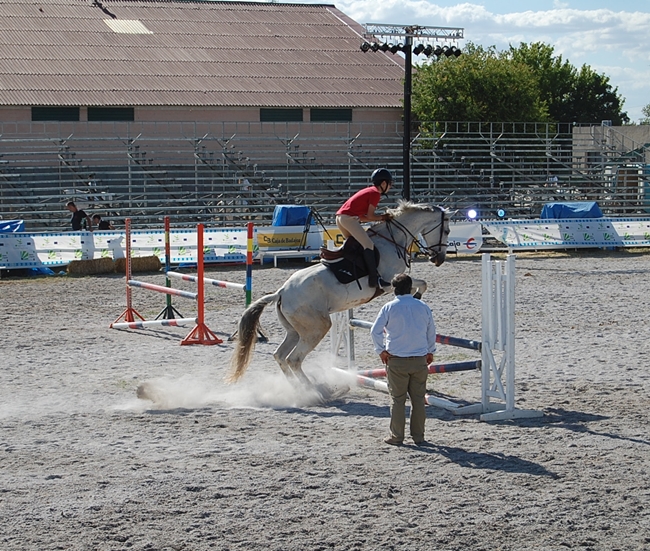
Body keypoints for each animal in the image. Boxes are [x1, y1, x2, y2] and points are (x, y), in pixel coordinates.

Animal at [228, 201, 450, 394]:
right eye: (446, 231)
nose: (438, 259)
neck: (393, 239)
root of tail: (281, 292)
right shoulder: (389, 283)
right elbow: (422, 283)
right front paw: (418, 296)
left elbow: (418, 286)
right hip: (317, 327)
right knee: (294, 359)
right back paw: (316, 391)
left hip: (295, 331)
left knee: (281, 356)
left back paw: (303, 390)